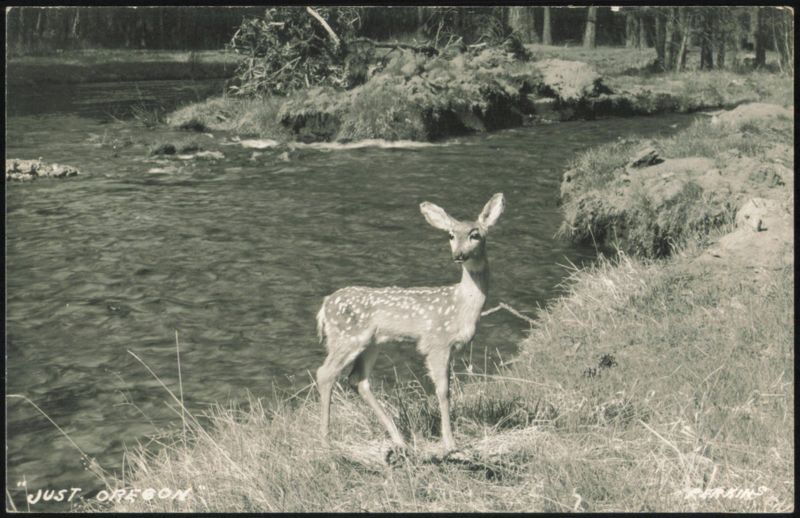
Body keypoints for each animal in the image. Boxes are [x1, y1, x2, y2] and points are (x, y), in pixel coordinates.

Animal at [315, 193, 505, 454]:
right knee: (325, 373)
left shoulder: (448, 347)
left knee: (357, 380)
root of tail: (324, 306)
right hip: (347, 337)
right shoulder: (437, 342)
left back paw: (399, 438)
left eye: (475, 235)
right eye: (451, 235)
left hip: (371, 343)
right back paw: (325, 441)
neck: (461, 306)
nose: (458, 255)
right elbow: (444, 391)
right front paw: (450, 443)